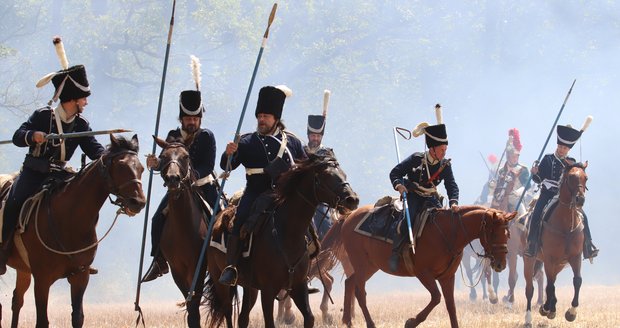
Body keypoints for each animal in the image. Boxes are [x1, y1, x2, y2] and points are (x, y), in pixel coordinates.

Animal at [0, 134, 146, 328]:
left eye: (141, 168)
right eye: (121, 165)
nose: (138, 202)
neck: (70, 218)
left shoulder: (80, 277)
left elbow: (77, 317)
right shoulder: (42, 279)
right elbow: (42, 320)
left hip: (23, 269)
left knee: (17, 300)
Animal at [150, 137, 211, 326]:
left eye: (186, 156)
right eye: (163, 156)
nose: (173, 179)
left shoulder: (198, 266)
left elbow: (194, 302)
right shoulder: (177, 269)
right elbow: (190, 304)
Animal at [203, 154, 358, 328]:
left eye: (343, 174)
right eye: (327, 176)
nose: (352, 199)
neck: (288, 234)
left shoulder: (298, 286)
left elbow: (309, 317)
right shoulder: (268, 290)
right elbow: (270, 322)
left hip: (250, 288)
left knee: (243, 318)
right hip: (220, 280)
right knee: (228, 311)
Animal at [330, 204, 520, 326]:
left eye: (508, 234)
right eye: (493, 233)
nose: (500, 264)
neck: (448, 234)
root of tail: (350, 216)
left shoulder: (447, 277)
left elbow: (451, 306)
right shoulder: (423, 274)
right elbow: (436, 297)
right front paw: (411, 322)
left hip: (370, 266)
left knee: (350, 283)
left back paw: (347, 321)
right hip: (361, 264)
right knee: (360, 292)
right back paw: (369, 324)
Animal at [520, 163, 588, 326]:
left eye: (586, 177)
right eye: (571, 177)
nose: (580, 199)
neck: (565, 225)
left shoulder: (575, 257)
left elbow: (577, 281)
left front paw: (571, 313)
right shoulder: (550, 259)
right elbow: (549, 285)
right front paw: (547, 309)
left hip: (559, 264)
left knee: (551, 283)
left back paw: (550, 307)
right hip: (530, 259)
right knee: (530, 289)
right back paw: (530, 318)